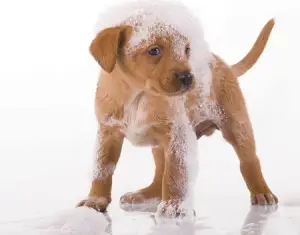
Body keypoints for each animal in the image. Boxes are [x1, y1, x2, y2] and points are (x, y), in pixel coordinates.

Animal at [76, 0, 278, 217]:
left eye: (186, 49)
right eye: (154, 50)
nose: (188, 77)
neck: (138, 96)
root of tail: (222, 63)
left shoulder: (176, 135)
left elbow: (174, 173)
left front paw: (174, 206)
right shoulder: (108, 133)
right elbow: (102, 170)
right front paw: (95, 200)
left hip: (237, 126)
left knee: (249, 161)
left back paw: (262, 192)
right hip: (159, 145)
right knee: (159, 172)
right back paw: (146, 194)